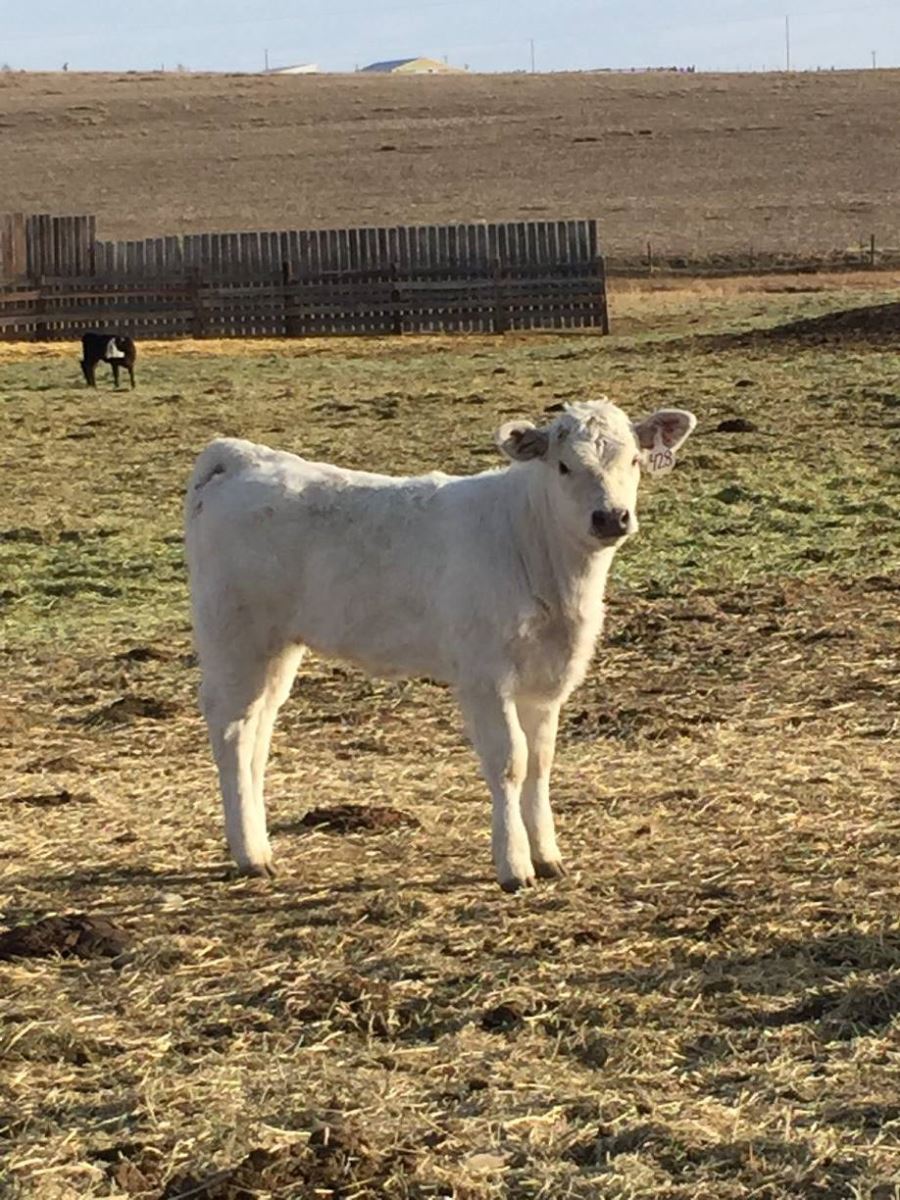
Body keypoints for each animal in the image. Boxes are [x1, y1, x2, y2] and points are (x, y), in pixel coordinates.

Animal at [185, 398, 696, 891]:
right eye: (564, 465)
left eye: (634, 460)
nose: (611, 517)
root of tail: (242, 455)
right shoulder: (485, 675)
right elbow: (510, 762)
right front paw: (514, 866)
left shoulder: (547, 680)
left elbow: (541, 762)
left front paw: (548, 856)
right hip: (235, 637)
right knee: (232, 733)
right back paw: (250, 856)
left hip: (278, 648)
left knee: (258, 733)